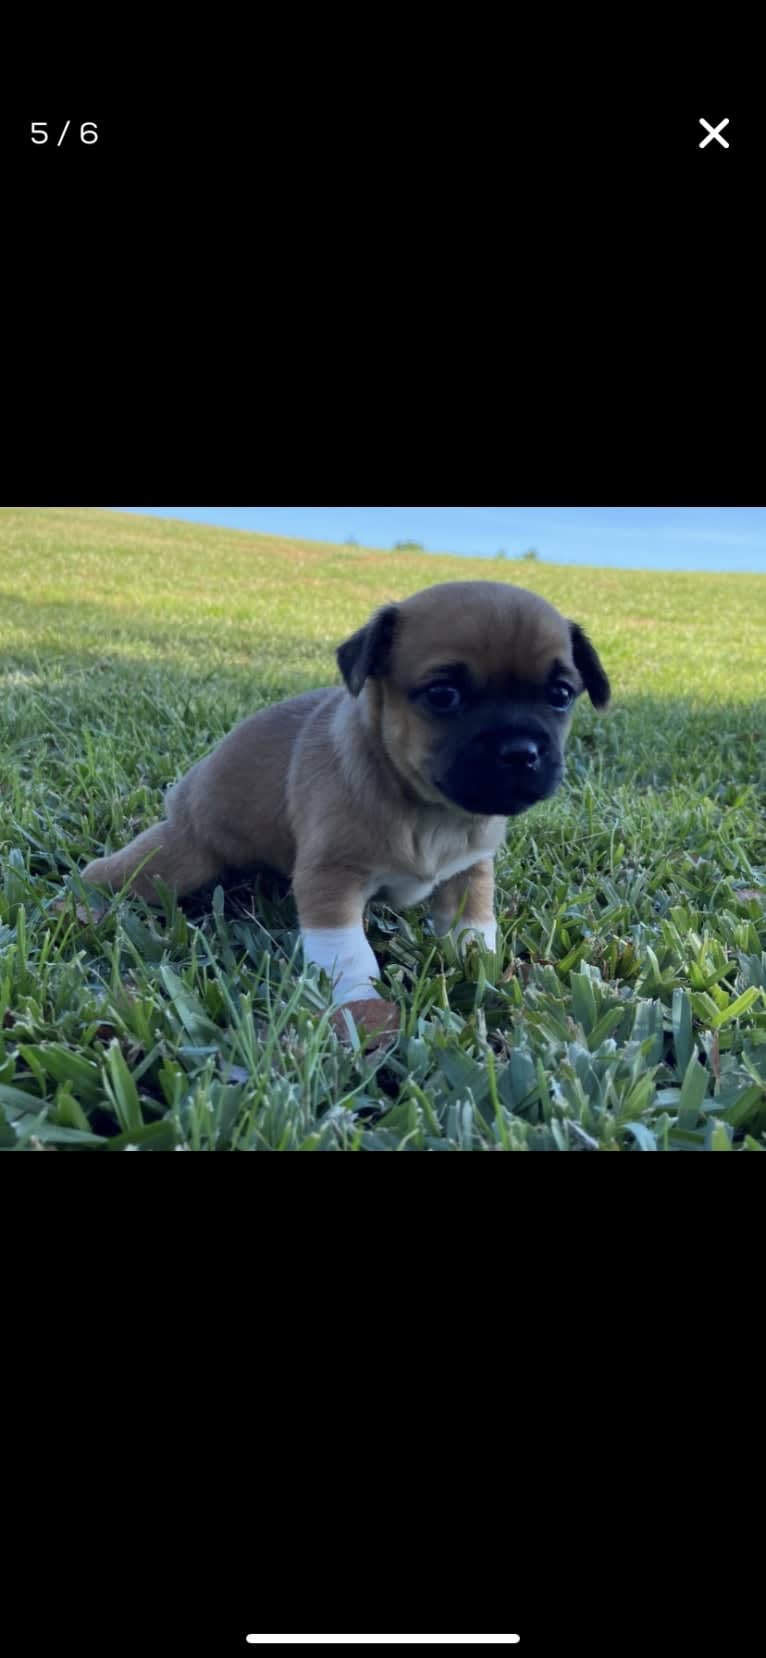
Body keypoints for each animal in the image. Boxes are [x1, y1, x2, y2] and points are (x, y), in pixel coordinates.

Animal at [82, 583, 610, 1021]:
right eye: (443, 695)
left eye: (560, 695)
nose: (521, 751)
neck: (429, 811)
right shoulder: (331, 880)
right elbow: (348, 951)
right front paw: (360, 1003)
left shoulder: (469, 874)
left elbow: (474, 929)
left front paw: (482, 972)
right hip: (175, 862)